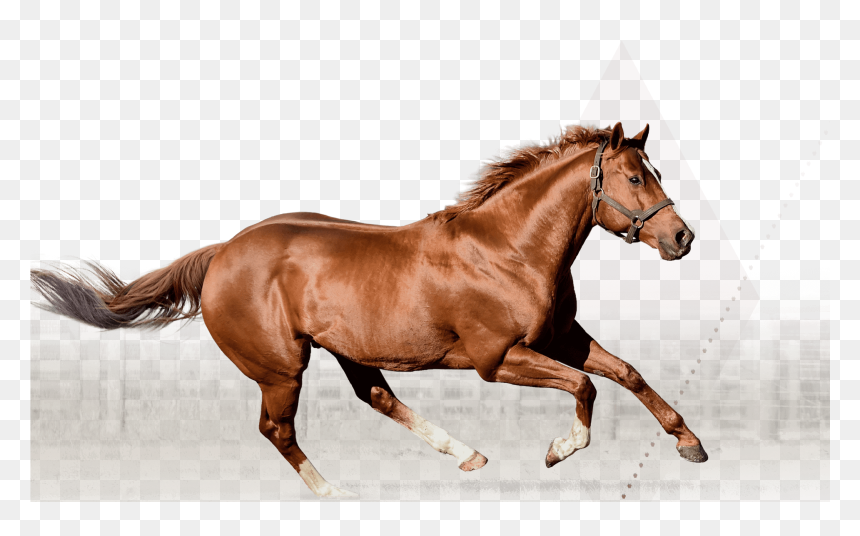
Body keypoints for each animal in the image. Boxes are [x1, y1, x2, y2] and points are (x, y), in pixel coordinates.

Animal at [31, 122, 707, 498]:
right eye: (634, 178)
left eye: (654, 170)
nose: (682, 238)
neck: (508, 249)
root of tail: (222, 252)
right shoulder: (498, 359)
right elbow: (585, 388)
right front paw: (558, 450)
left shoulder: (562, 337)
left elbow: (627, 374)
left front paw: (690, 444)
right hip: (283, 368)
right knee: (277, 429)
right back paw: (334, 494)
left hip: (347, 351)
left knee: (377, 397)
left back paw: (466, 454)